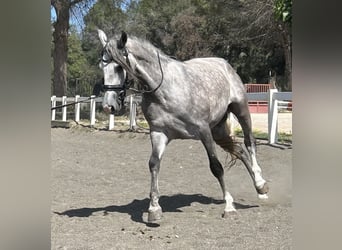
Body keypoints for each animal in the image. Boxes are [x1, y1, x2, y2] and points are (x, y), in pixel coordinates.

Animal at [97, 29, 268, 223]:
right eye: (101, 66)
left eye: (118, 67)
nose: (108, 106)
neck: (163, 90)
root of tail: (224, 64)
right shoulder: (159, 133)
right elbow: (154, 164)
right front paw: (154, 208)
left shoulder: (203, 131)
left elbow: (216, 167)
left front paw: (229, 206)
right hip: (218, 130)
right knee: (239, 150)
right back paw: (259, 186)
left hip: (240, 110)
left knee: (249, 142)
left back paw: (260, 184)